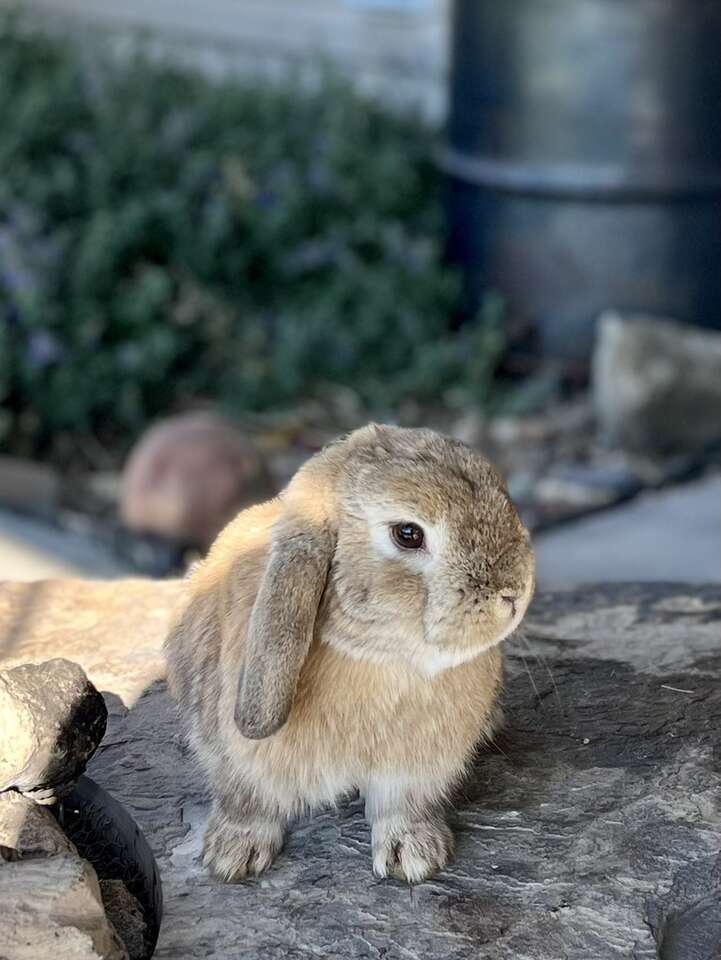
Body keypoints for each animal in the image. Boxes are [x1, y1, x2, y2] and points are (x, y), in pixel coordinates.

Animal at [165, 426, 536, 884]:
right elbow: (246, 800)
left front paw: (413, 857)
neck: (382, 659)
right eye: (408, 534)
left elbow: (401, 808)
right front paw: (233, 856)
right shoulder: (236, 759)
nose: (514, 594)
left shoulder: (412, 771)